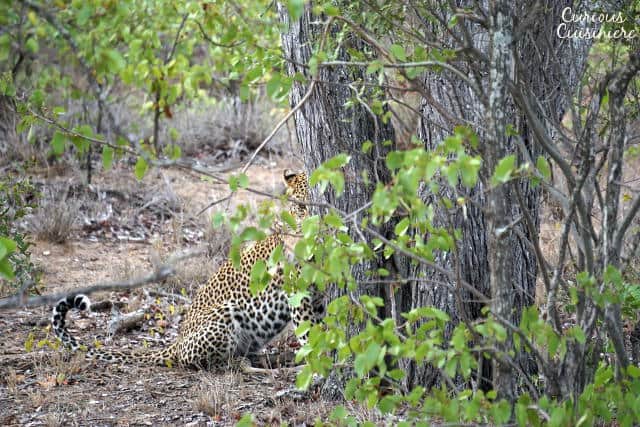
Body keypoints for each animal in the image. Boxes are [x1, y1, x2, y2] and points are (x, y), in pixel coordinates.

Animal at [50, 171, 322, 372]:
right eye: (301, 207)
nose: (311, 225)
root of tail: (178, 342)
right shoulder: (298, 294)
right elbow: (308, 332)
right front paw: (317, 366)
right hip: (226, 313)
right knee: (221, 364)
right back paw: (269, 367)